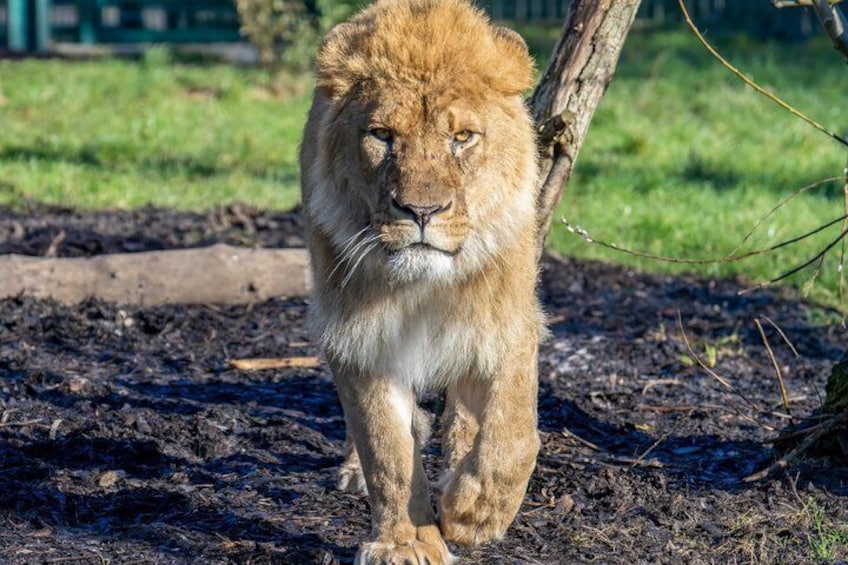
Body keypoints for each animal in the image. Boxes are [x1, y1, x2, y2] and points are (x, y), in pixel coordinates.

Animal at [299, 0, 543, 562]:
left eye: (462, 137)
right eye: (383, 136)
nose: (422, 211)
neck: (426, 286)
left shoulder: (508, 319)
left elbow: (514, 431)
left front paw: (473, 514)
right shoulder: (357, 334)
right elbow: (386, 449)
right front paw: (405, 543)